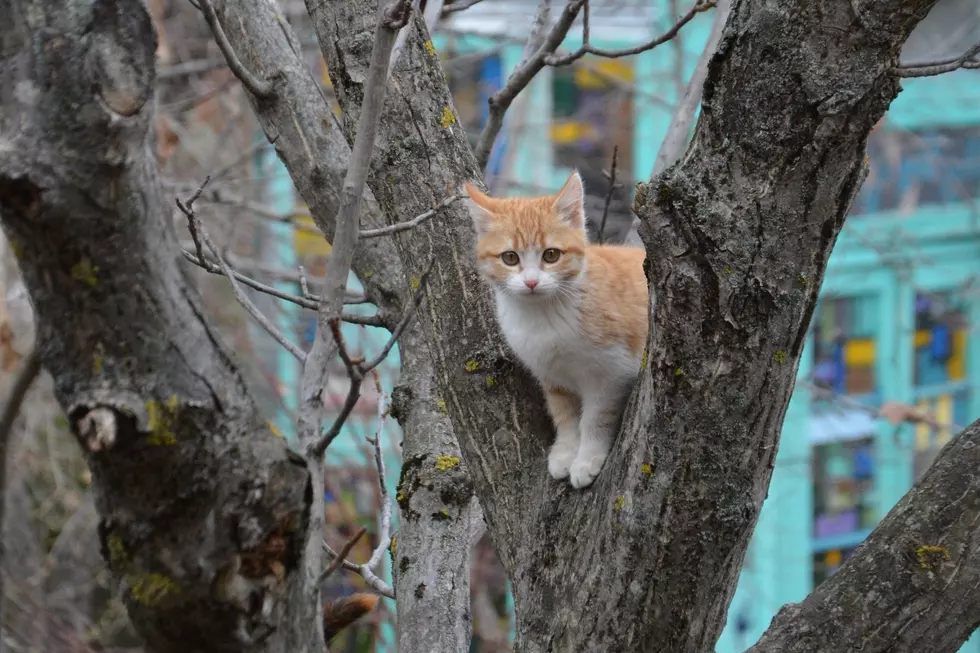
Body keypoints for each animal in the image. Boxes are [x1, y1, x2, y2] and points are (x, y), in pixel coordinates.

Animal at [462, 171, 648, 486]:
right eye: (510, 257)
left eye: (551, 255)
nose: (531, 282)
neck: (543, 317)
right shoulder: (550, 374)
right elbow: (564, 414)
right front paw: (565, 453)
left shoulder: (613, 373)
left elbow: (596, 417)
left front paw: (587, 459)